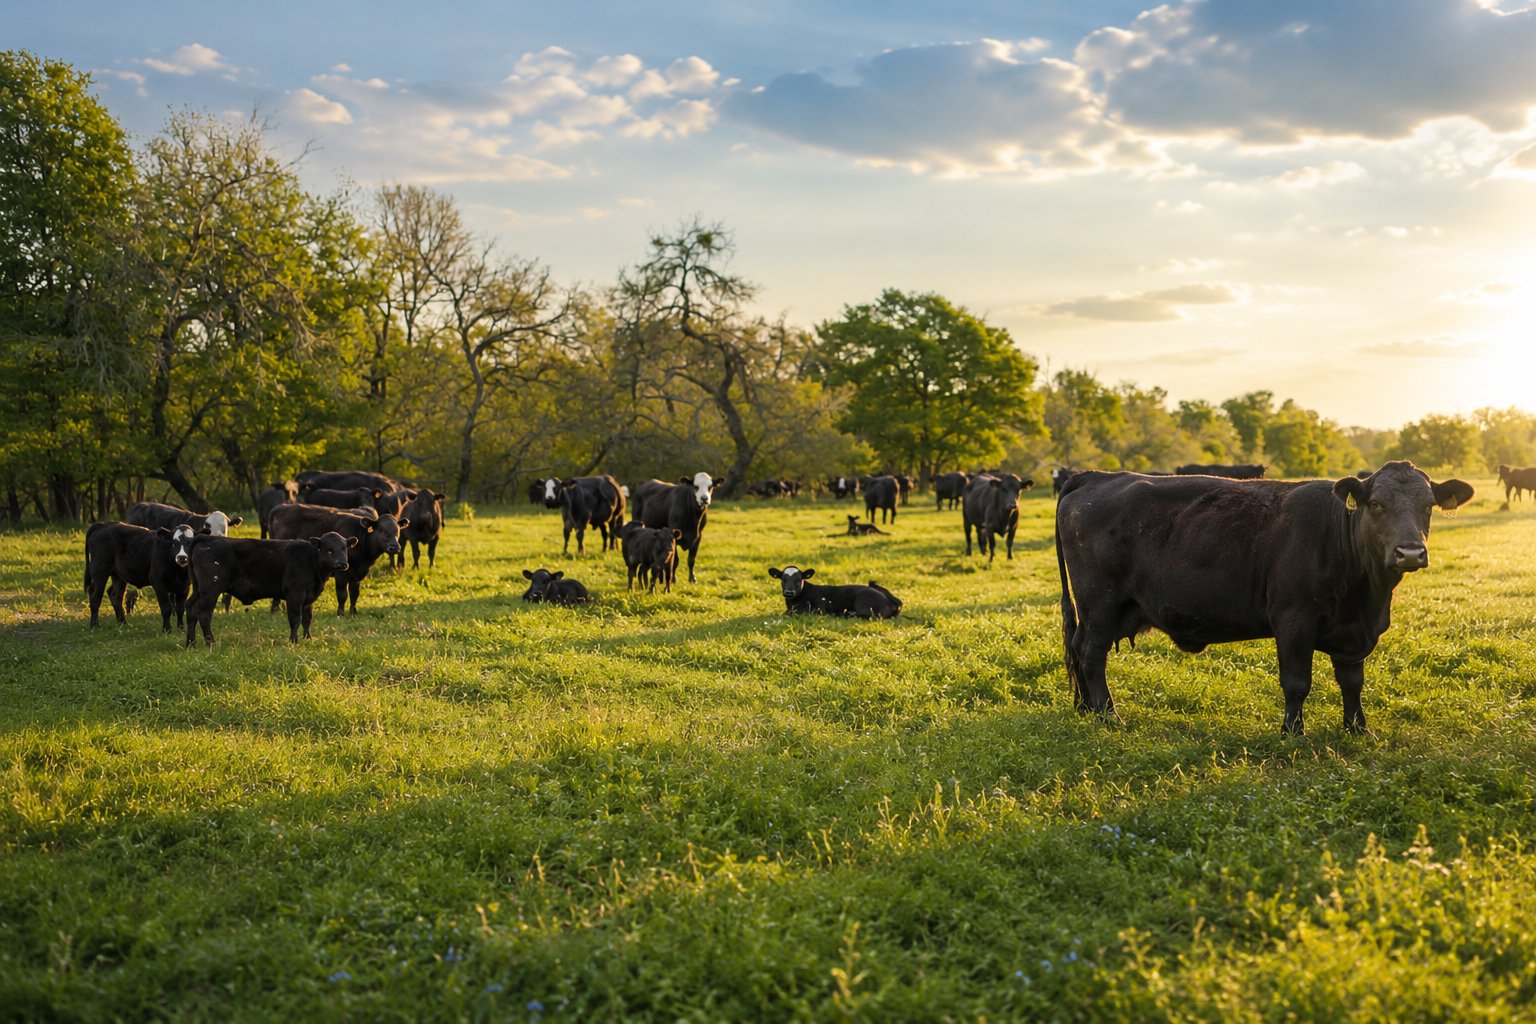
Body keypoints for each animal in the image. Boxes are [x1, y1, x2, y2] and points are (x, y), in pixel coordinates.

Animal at [185, 532, 353, 646]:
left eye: (344, 548)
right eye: (329, 550)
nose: (342, 563)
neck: (311, 561)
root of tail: (207, 538)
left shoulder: (308, 597)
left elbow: (307, 619)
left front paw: (308, 638)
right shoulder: (295, 594)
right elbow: (295, 619)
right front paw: (293, 641)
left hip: (198, 590)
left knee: (190, 609)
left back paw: (191, 643)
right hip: (210, 590)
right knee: (203, 613)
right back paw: (210, 643)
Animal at [268, 503, 406, 615]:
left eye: (398, 530)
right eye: (381, 530)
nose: (395, 547)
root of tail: (280, 507)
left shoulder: (358, 574)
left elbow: (355, 594)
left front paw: (353, 612)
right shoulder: (341, 573)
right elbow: (342, 594)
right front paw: (340, 613)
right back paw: (275, 609)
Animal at [1055, 461, 1474, 734]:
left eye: (1429, 505)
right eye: (1376, 504)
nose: (1410, 553)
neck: (1366, 594)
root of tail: (1094, 476)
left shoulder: (1354, 631)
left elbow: (1352, 681)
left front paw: (1357, 728)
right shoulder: (1294, 619)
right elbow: (1296, 681)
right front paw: (1292, 732)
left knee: (1079, 647)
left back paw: (1086, 709)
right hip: (1100, 604)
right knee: (1091, 654)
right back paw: (1108, 716)